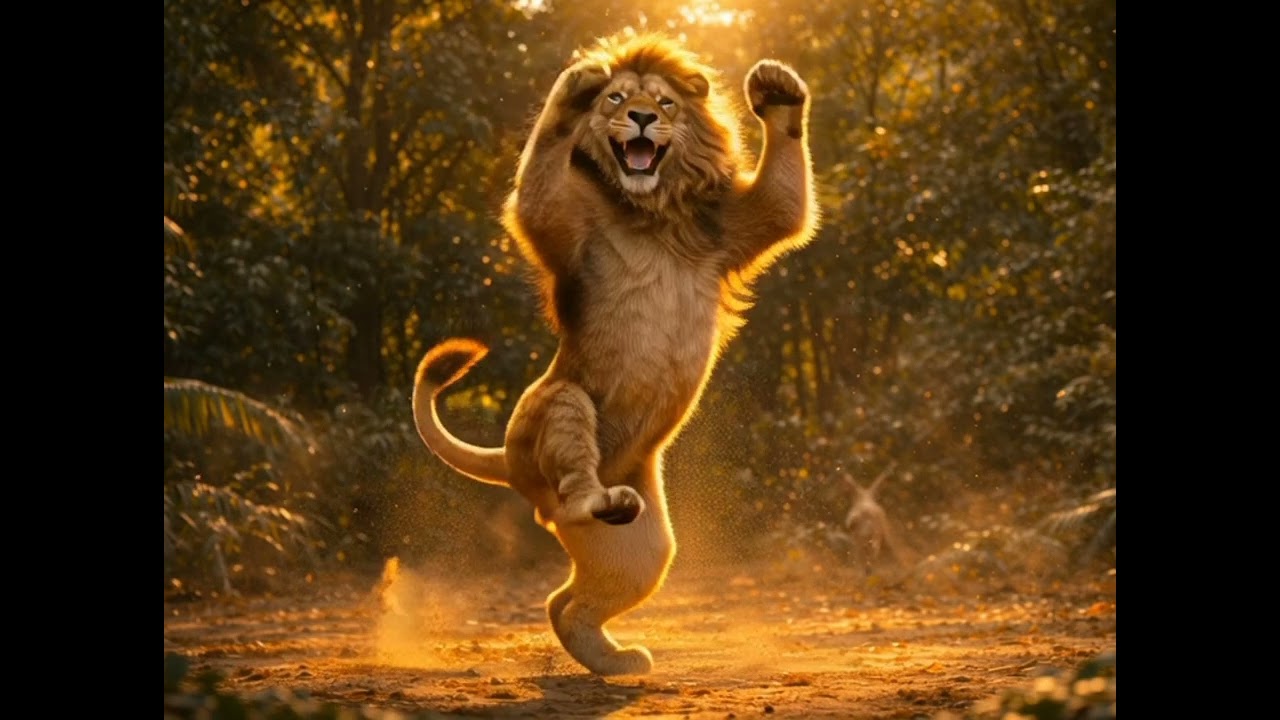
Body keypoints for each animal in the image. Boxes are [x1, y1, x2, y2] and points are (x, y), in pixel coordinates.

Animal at [413, 32, 818, 676]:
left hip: (646, 550)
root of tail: (507, 458)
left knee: (564, 602)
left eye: (666, 102)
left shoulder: (734, 227)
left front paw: (777, 89)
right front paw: (577, 82)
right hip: (559, 403)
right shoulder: (560, 224)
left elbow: (786, 200)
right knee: (573, 493)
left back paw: (613, 659)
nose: (643, 118)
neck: (651, 212)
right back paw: (593, 502)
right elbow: (538, 181)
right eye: (617, 99)